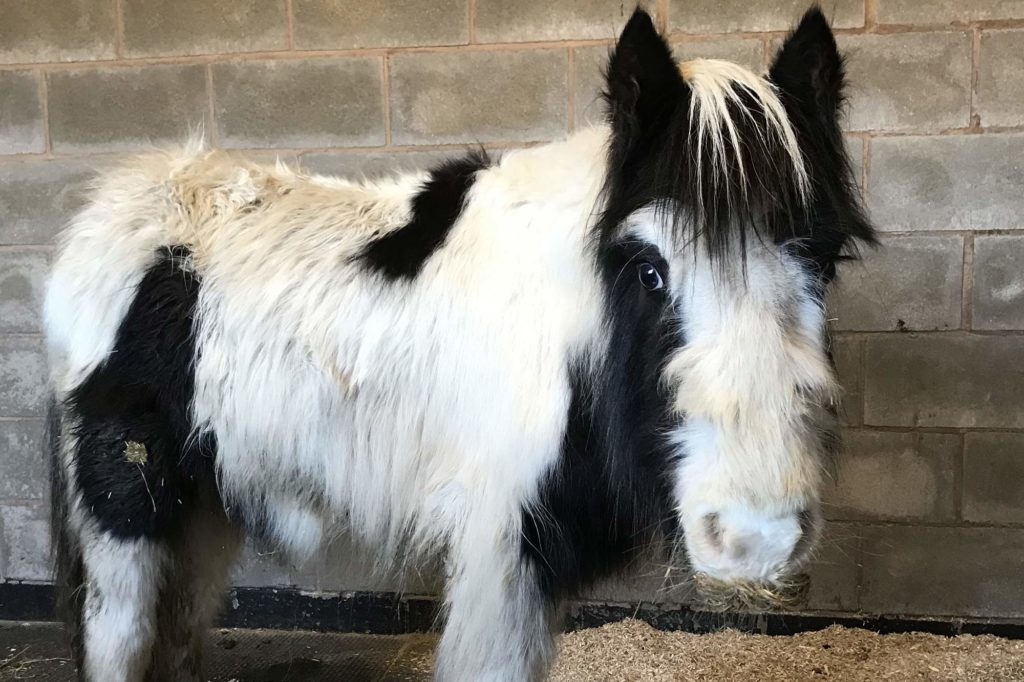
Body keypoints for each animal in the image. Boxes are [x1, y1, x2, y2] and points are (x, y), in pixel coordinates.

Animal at [46, 6, 872, 679]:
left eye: (823, 260)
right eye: (647, 268)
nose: (756, 538)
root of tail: (111, 209)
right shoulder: (500, 547)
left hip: (206, 500)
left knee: (180, 627)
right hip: (124, 505)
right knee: (120, 637)